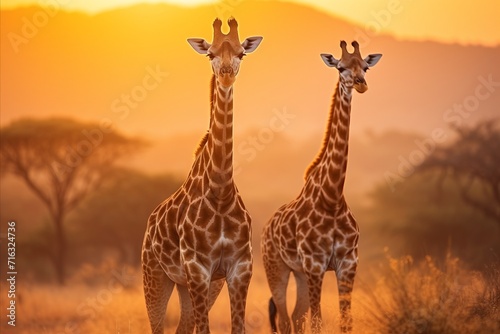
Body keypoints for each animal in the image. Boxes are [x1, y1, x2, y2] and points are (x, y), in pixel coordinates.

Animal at [142, 18, 262, 334]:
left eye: (241, 53)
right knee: (158, 327)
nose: (226, 74)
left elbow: (236, 328)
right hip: (155, 275)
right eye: (210, 54)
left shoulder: (239, 269)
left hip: (194, 286)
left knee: (182, 327)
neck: (220, 190)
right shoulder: (197, 269)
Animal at [260, 41, 380, 334]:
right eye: (340, 67)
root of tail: (265, 227)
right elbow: (317, 322)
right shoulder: (315, 264)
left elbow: (345, 321)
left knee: (296, 317)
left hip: (300, 274)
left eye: (366, 66)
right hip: (276, 268)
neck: (332, 197)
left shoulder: (348, 263)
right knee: (285, 320)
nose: (360, 84)